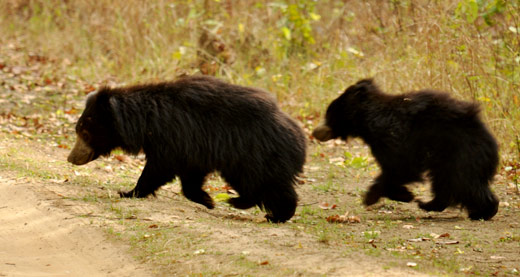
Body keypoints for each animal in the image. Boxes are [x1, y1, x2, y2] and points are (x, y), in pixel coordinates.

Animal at [67, 75, 306, 222]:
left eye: (85, 133)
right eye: (78, 130)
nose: (71, 158)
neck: (144, 121)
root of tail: (299, 137)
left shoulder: (173, 137)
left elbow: (158, 169)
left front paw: (128, 192)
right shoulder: (192, 148)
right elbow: (191, 176)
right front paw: (207, 200)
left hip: (255, 155)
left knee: (262, 185)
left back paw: (264, 211)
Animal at [312, 78, 500, 219]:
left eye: (329, 115)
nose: (315, 132)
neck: (366, 119)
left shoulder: (390, 135)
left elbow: (400, 166)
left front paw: (374, 196)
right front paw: (404, 195)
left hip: (460, 154)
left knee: (463, 182)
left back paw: (482, 212)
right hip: (448, 158)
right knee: (446, 182)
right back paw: (431, 204)